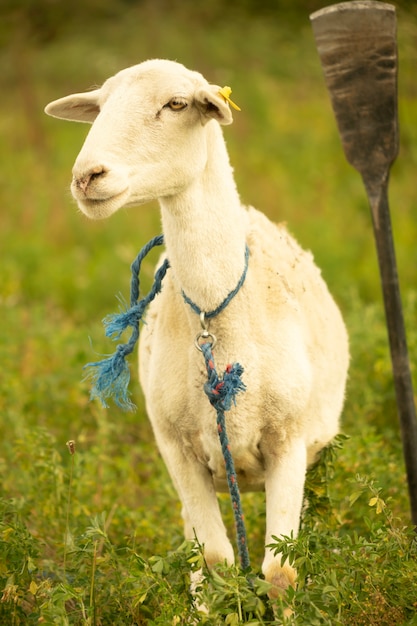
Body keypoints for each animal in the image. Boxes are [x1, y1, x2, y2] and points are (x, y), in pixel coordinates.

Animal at [44, 57, 348, 596]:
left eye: (177, 104)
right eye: (100, 106)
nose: (87, 176)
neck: (215, 317)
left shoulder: (288, 442)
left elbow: (279, 572)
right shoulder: (177, 450)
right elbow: (215, 563)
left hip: (317, 445)